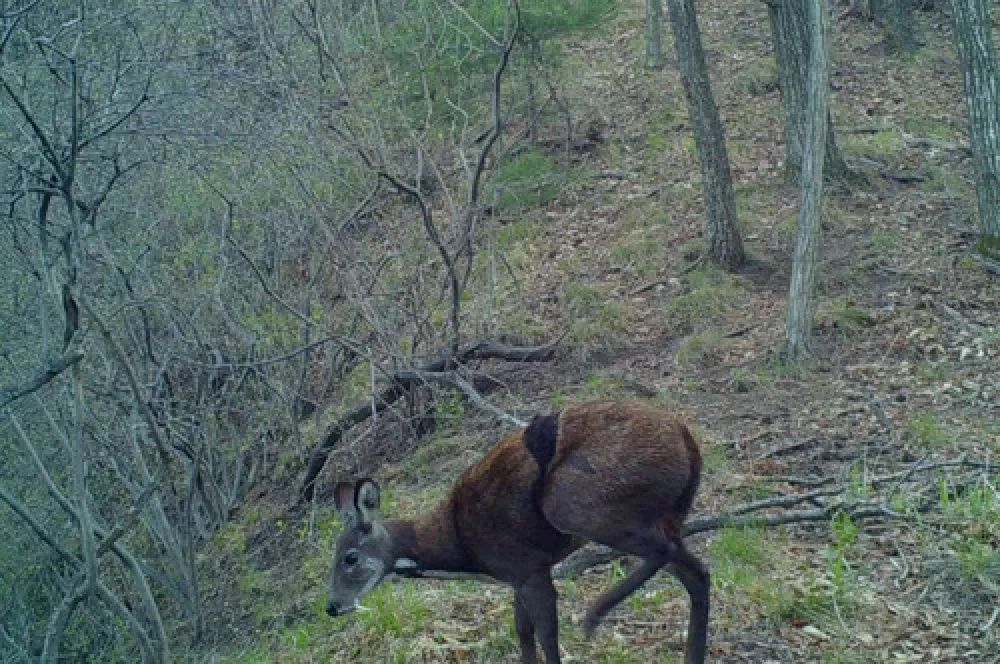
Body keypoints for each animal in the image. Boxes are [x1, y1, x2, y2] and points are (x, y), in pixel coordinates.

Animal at [324, 400, 708, 664]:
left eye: (350, 557)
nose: (332, 606)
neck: (461, 545)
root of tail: (688, 439)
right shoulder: (515, 578)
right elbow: (523, 633)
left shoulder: (529, 566)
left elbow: (546, 635)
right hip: (662, 515)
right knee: (697, 571)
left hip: (577, 504)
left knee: (667, 552)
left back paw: (594, 614)